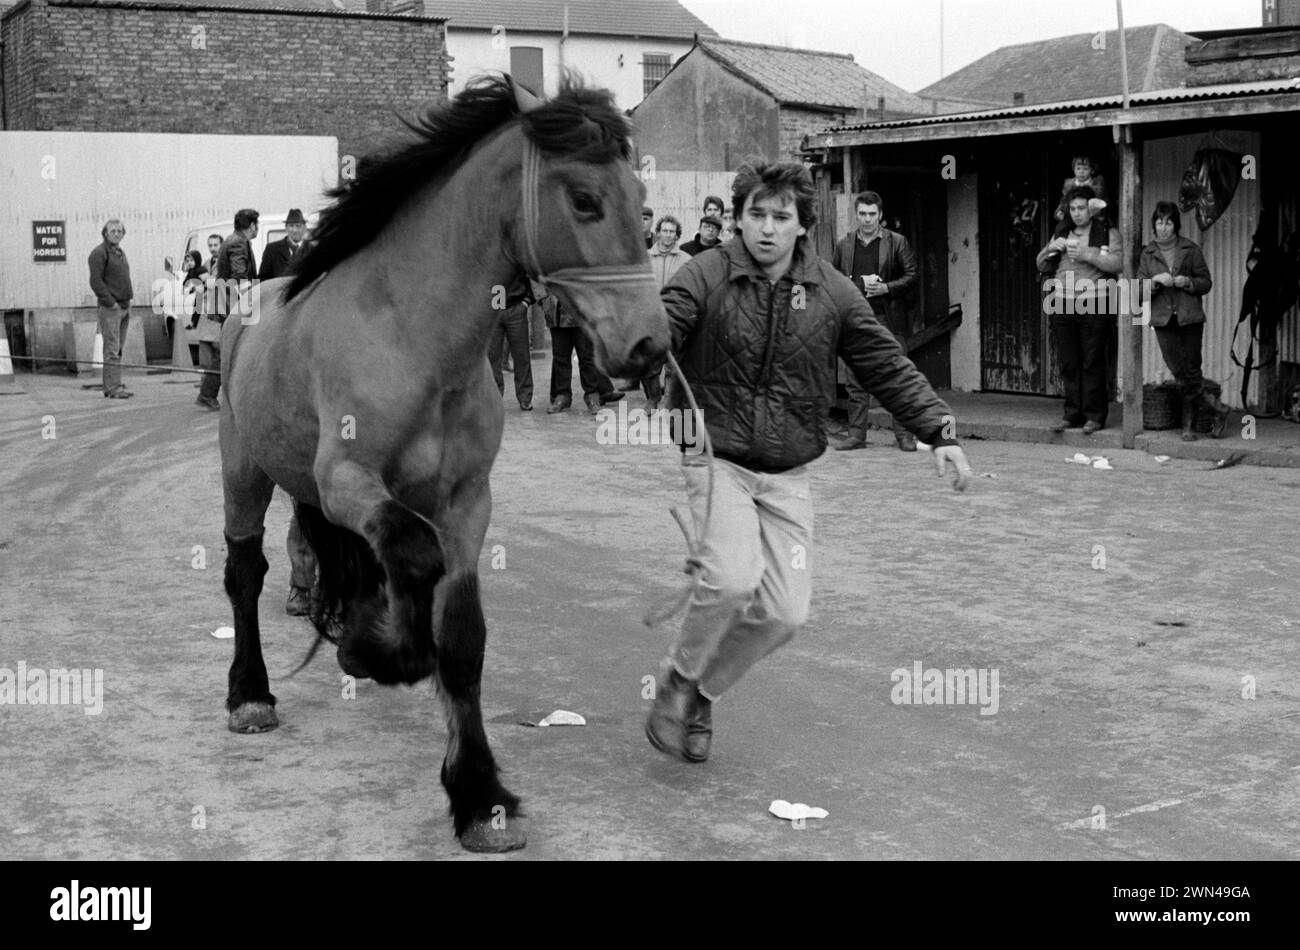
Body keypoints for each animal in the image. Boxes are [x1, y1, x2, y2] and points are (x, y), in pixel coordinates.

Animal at [217, 76, 665, 852]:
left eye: (640, 198)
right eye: (585, 199)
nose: (649, 344)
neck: (412, 339)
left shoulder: (465, 504)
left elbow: (459, 638)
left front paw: (480, 798)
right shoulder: (347, 481)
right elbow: (412, 558)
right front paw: (381, 654)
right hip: (244, 471)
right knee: (246, 572)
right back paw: (251, 694)